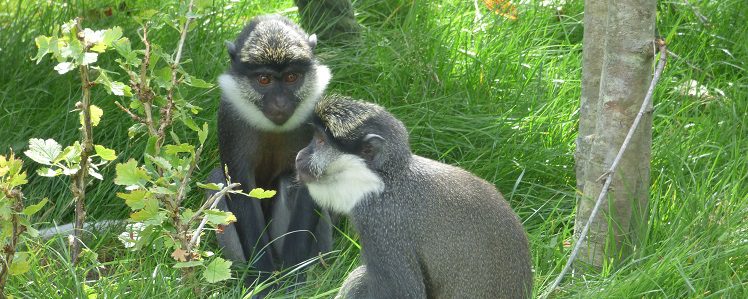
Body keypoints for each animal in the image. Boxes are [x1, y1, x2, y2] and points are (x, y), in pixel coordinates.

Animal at [207, 14, 334, 288]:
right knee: (217, 179)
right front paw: (260, 281)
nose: (280, 103)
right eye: (264, 80)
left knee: (288, 182)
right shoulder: (229, 119)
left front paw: (294, 278)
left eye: (291, 77)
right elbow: (240, 190)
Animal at [296, 97, 536, 298]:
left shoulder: (381, 223)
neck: (389, 178)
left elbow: (404, 292)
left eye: (320, 141)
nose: (300, 155)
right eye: (315, 138)